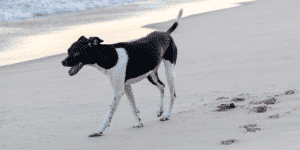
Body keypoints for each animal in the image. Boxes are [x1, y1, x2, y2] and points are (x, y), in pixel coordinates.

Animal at [61, 8, 183, 137]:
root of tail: (166, 34)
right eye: (68, 51)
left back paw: (167, 115)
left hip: (169, 71)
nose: (62, 62)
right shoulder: (126, 86)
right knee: (162, 86)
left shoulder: (118, 92)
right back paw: (159, 110)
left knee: (173, 94)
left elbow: (109, 112)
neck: (109, 56)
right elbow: (133, 106)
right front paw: (138, 123)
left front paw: (99, 131)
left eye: (75, 53)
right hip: (151, 74)